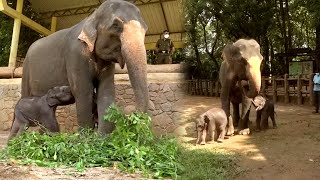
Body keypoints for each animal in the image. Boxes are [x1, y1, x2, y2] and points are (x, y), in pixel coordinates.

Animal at [21, 0, 149, 135]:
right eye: (115, 26)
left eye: (146, 29)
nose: (131, 112)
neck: (92, 16)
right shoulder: (75, 54)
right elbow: (83, 90)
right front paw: (85, 137)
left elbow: (106, 90)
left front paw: (102, 138)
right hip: (26, 68)